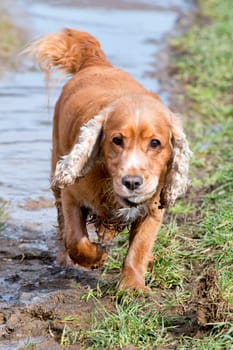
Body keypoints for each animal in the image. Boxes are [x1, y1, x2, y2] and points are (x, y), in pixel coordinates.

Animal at [28, 27, 191, 292]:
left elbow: (139, 247)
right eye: (117, 140)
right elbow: (76, 239)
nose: (132, 182)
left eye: (155, 143)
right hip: (57, 170)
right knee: (62, 224)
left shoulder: (154, 207)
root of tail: (97, 63)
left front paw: (132, 286)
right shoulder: (72, 195)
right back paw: (66, 259)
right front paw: (97, 257)